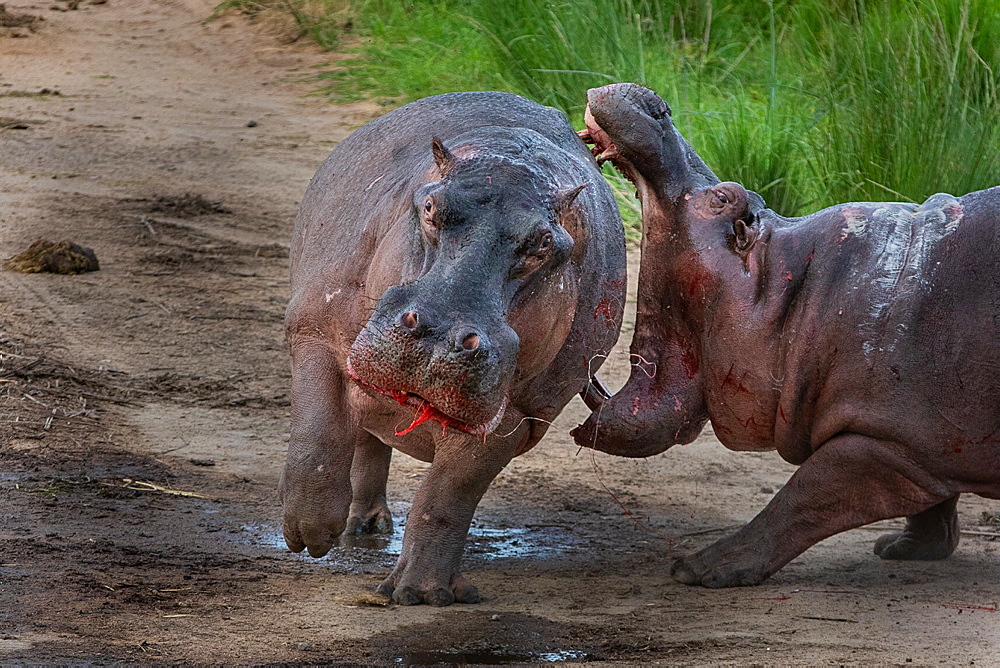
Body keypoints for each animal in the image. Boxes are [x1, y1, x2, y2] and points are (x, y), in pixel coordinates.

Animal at [282, 91, 624, 608]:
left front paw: (421, 593)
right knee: (361, 435)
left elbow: (447, 497)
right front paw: (311, 533)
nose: (442, 335)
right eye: (429, 205)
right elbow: (317, 431)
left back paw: (371, 530)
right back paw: (356, 529)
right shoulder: (313, 328)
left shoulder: (516, 415)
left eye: (547, 243)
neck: (509, 160)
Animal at [572, 81, 1000, 588]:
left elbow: (798, 501)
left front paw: (701, 567)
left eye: (724, 197)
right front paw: (902, 549)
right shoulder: (917, 444)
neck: (796, 300)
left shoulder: (884, 447)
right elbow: (935, 503)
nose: (658, 104)